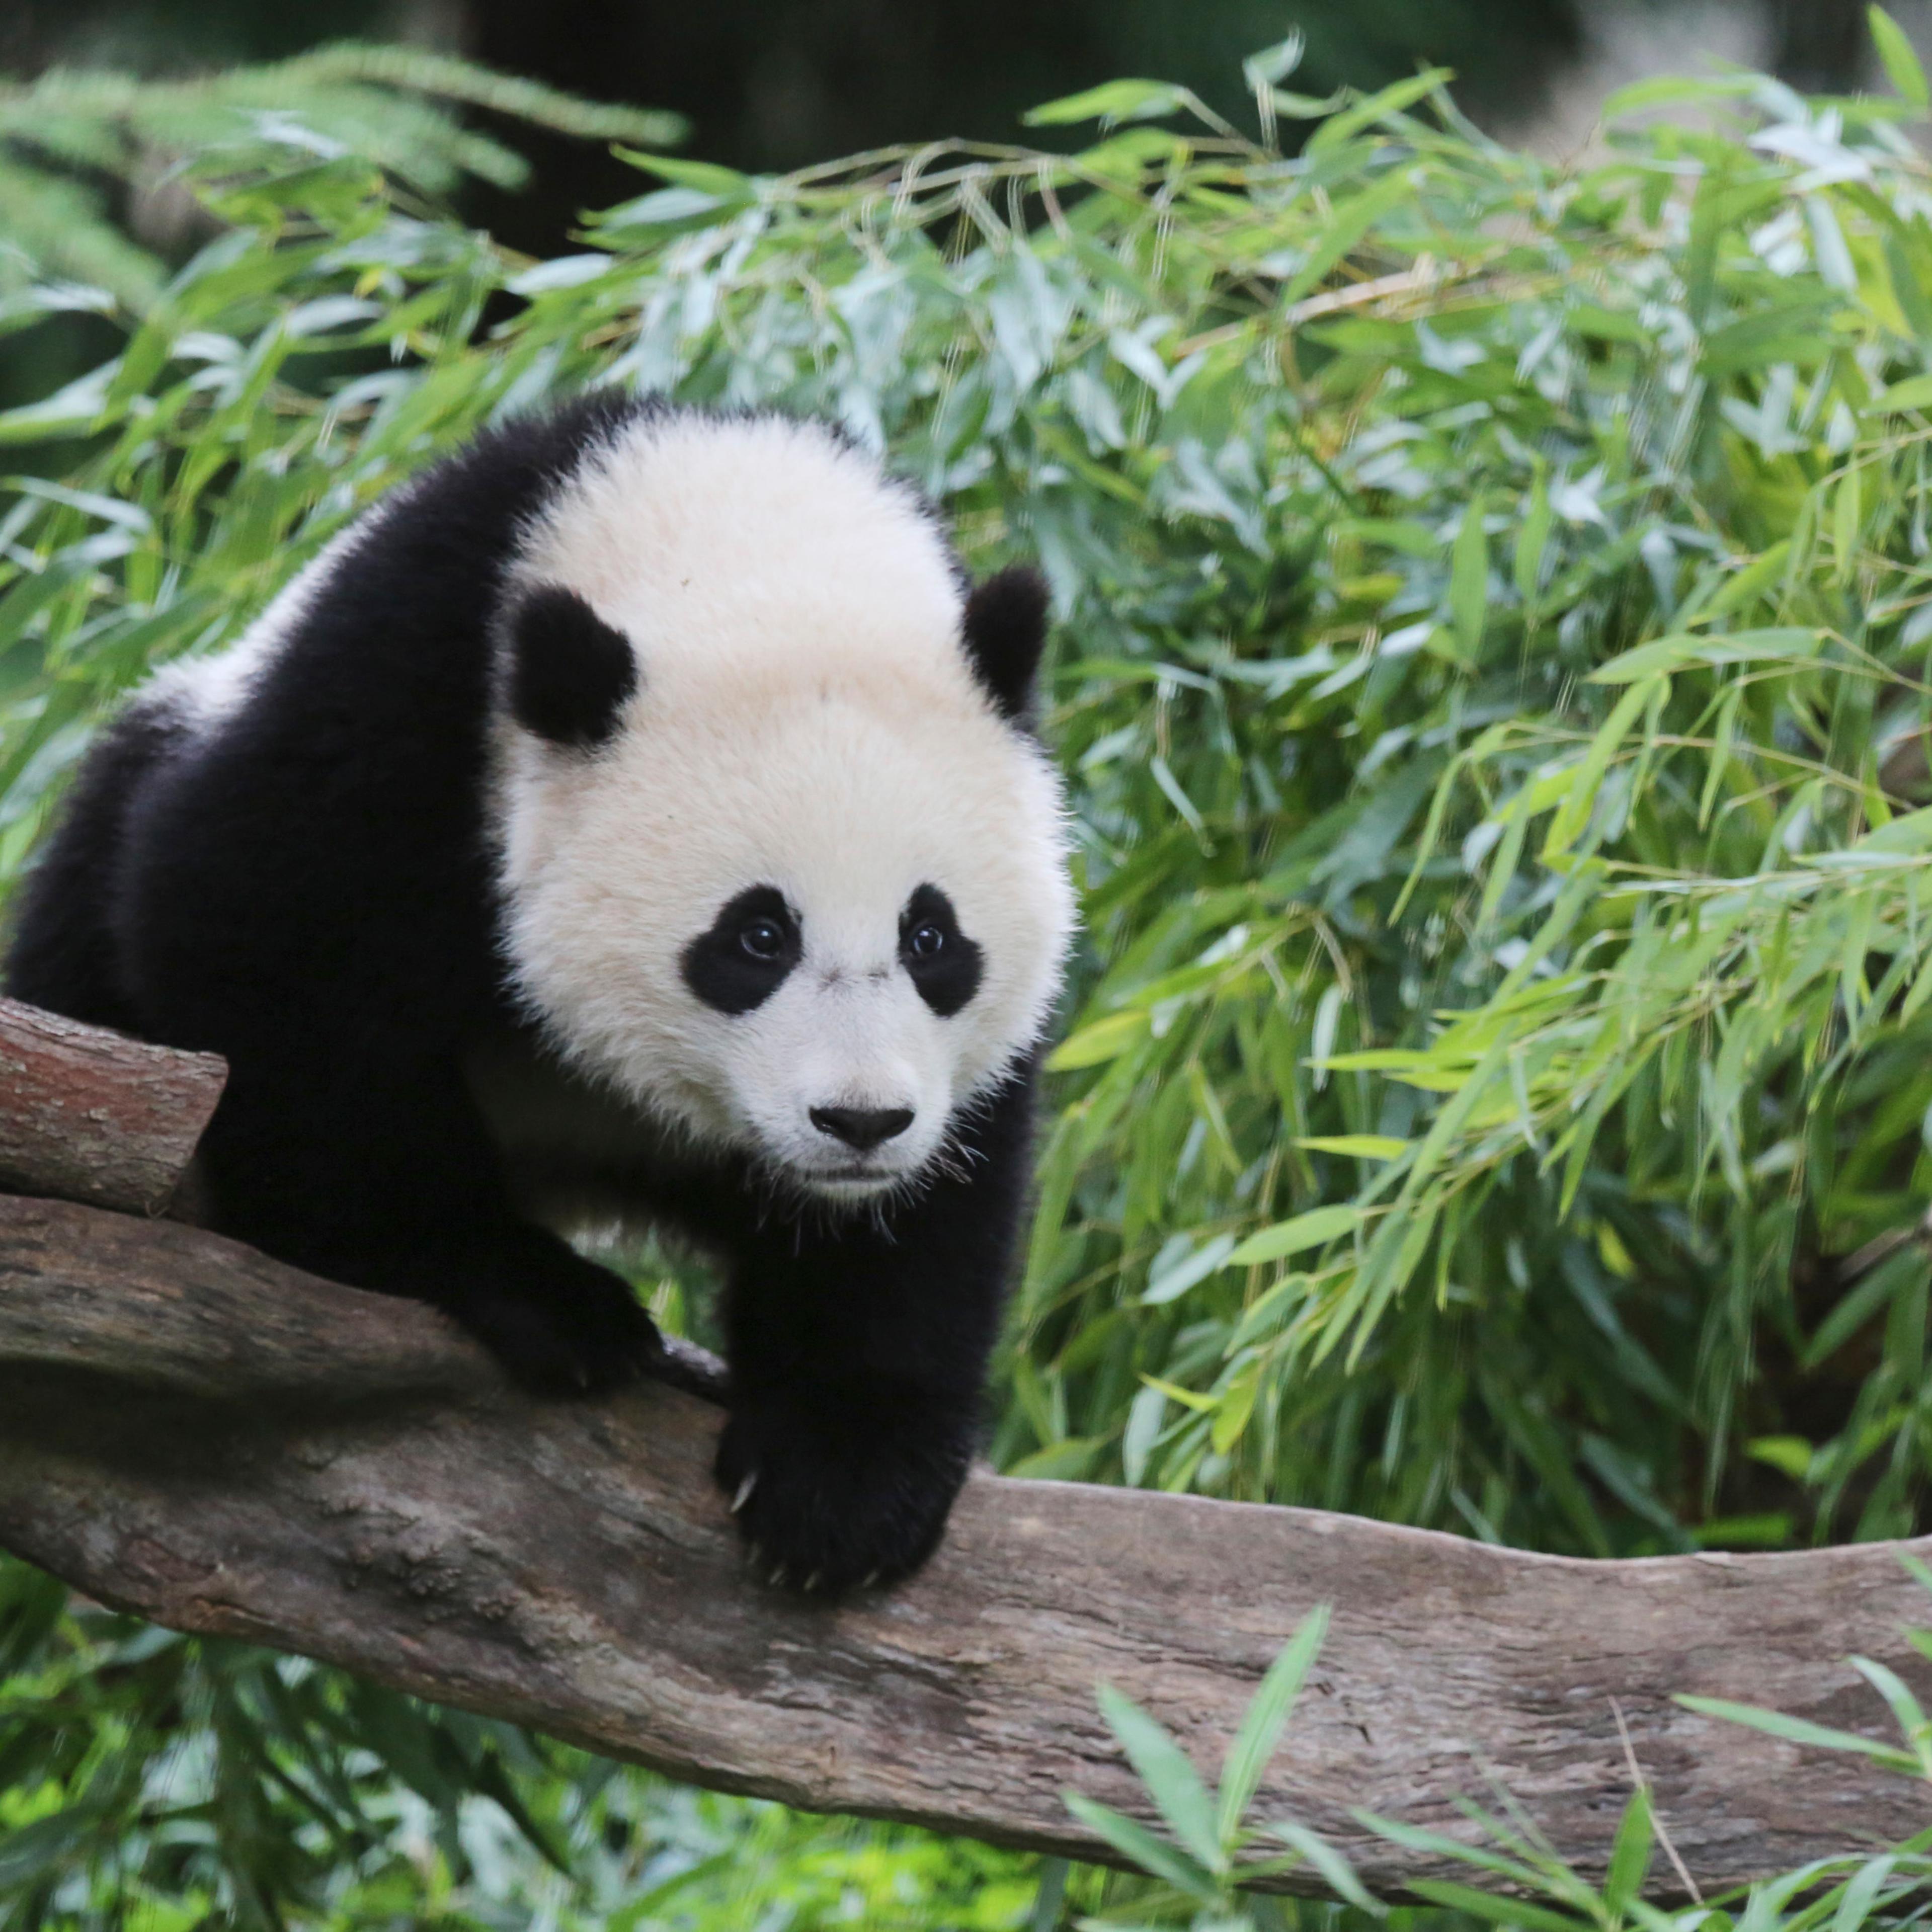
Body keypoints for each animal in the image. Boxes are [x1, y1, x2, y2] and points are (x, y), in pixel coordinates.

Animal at [4, 396, 1076, 1594]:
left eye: (931, 937)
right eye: (757, 937)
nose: (859, 1123)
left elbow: (934, 1207)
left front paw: (841, 1484)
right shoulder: (402, 702)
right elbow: (259, 952)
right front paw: (540, 1297)